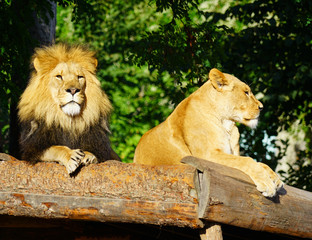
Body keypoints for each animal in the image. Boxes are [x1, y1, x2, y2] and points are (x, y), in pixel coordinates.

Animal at [18, 43, 120, 174]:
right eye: (59, 77)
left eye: (80, 77)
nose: (73, 90)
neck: (69, 121)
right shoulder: (32, 150)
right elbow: (54, 148)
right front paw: (71, 156)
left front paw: (88, 156)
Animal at [134, 68, 282, 197]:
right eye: (246, 92)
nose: (262, 107)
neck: (226, 124)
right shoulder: (207, 156)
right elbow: (247, 161)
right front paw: (268, 184)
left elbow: (259, 163)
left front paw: (275, 178)